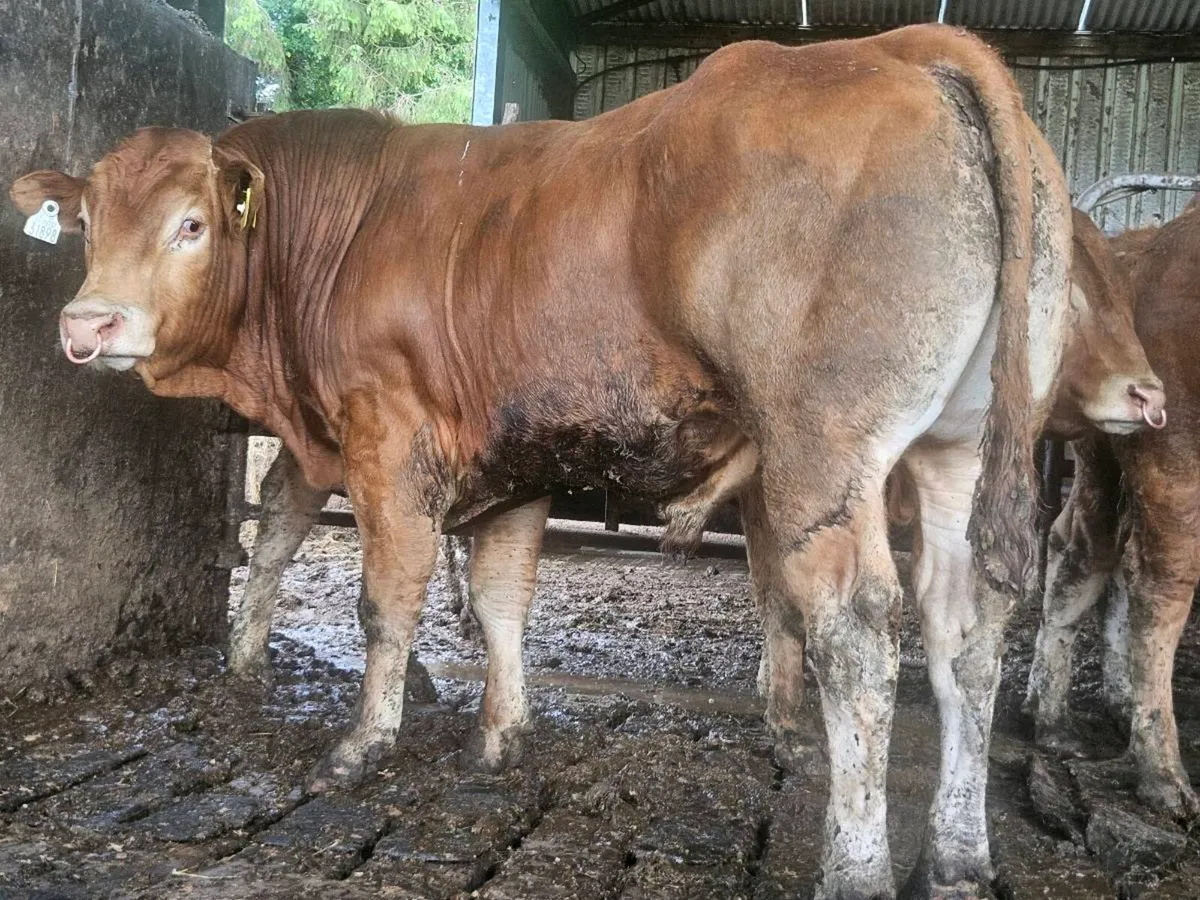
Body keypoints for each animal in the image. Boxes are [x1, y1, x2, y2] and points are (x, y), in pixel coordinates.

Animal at [13, 25, 1078, 898]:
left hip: (824, 449)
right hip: (959, 448)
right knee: (966, 628)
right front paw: (501, 735)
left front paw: (362, 744)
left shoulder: (386, 439)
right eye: (88, 222)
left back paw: (855, 867)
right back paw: (957, 856)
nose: (87, 324)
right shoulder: (513, 464)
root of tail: (903, 46)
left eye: (190, 224)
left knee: (857, 632)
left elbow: (385, 601)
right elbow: (500, 602)